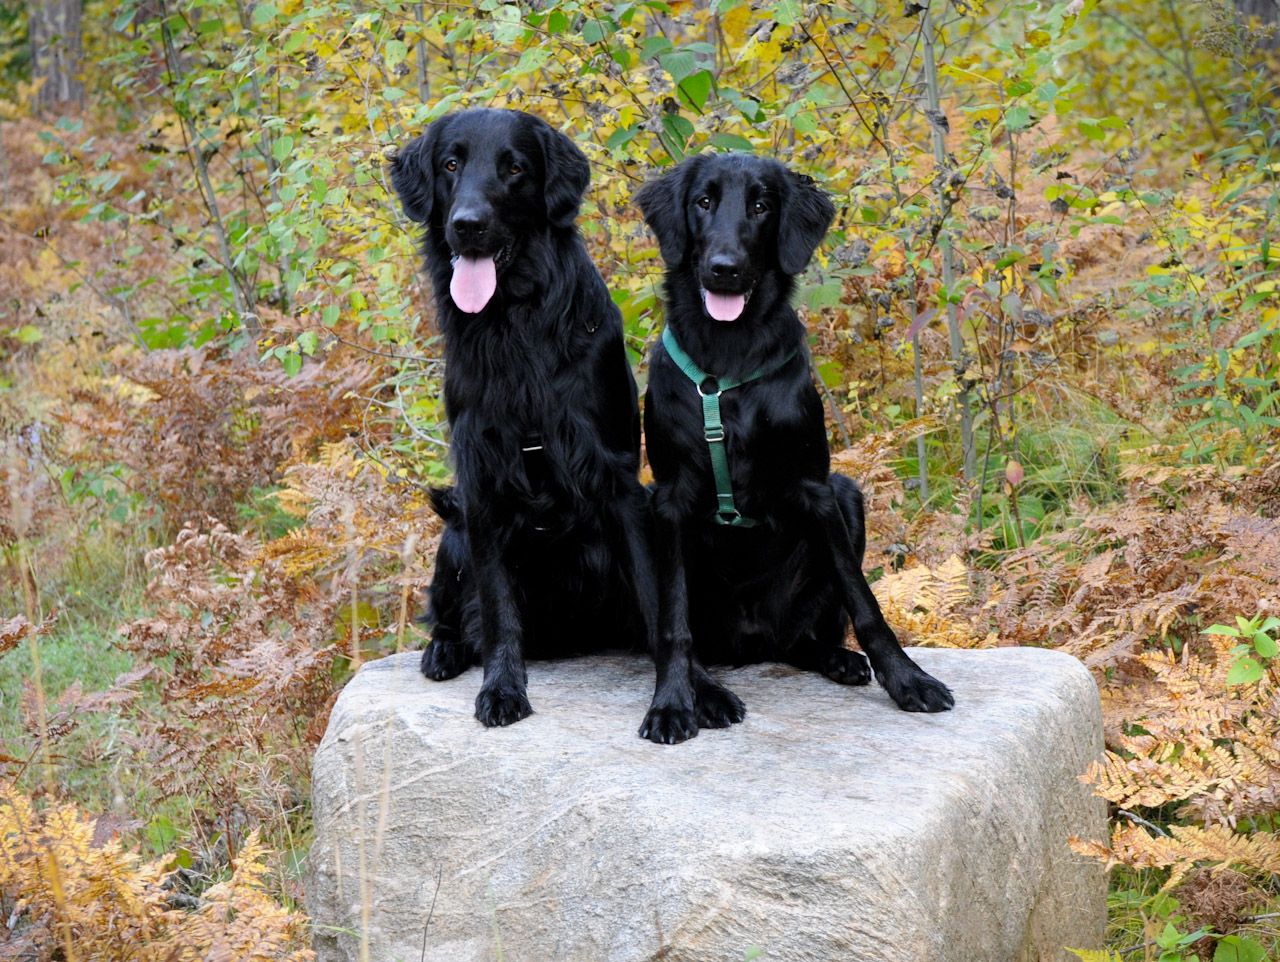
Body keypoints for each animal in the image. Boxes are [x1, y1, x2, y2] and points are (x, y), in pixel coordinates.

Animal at [634, 156, 957, 741]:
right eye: (703, 202)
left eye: (762, 205)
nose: (724, 268)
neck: (729, 357)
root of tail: (750, 641)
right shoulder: (667, 498)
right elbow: (673, 625)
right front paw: (671, 703)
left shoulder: (818, 489)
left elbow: (864, 602)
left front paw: (907, 679)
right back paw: (706, 693)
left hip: (847, 496)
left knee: (800, 639)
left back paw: (837, 659)